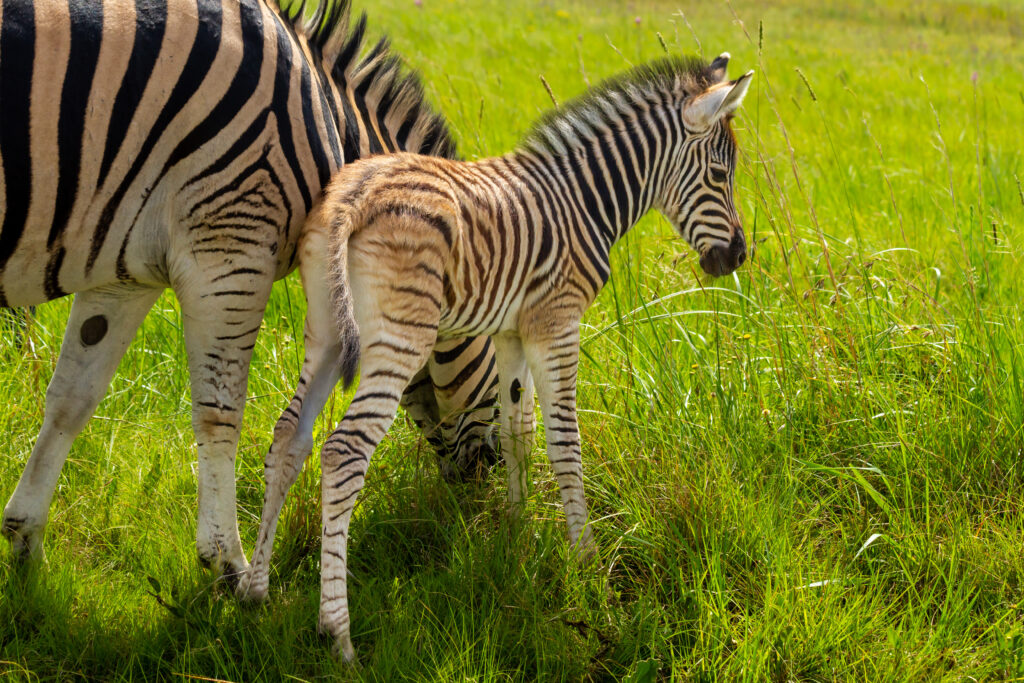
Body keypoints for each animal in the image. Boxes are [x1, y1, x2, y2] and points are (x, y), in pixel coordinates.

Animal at [0, 1, 495, 581]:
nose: (484, 493)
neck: (325, 117)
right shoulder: (231, 252)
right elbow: (220, 411)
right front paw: (227, 563)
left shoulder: (123, 274)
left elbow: (71, 400)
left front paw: (27, 543)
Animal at [272, 50, 753, 659]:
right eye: (720, 176)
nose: (738, 256)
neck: (585, 202)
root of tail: (355, 194)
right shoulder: (556, 322)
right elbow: (565, 442)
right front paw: (586, 560)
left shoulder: (510, 332)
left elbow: (517, 432)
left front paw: (516, 533)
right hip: (397, 340)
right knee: (343, 452)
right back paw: (337, 635)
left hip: (326, 331)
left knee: (288, 435)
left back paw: (250, 591)